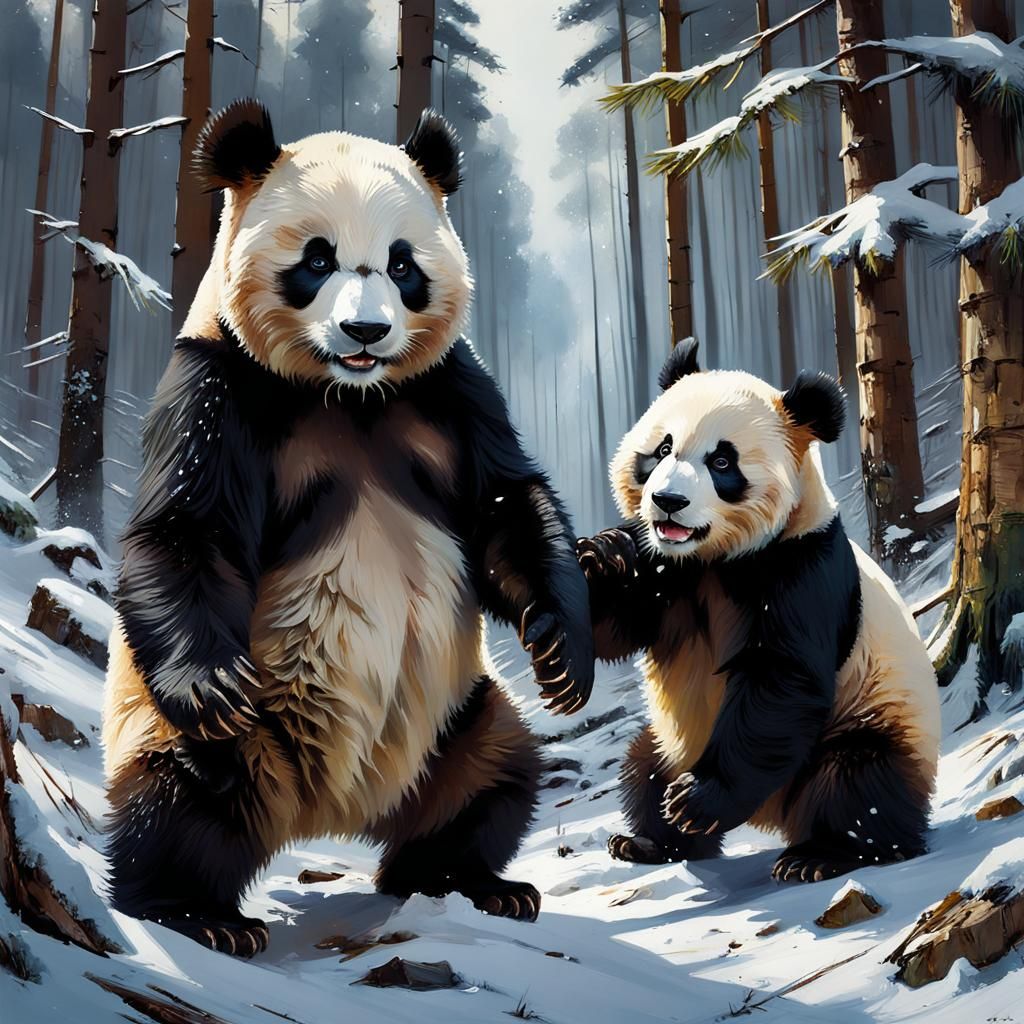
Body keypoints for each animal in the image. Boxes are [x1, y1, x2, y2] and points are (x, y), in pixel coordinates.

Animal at [102, 99, 595, 955]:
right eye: (316, 260)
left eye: (402, 266)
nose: (366, 332)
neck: (348, 395)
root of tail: (329, 812)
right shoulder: (218, 386)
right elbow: (185, 529)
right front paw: (211, 682)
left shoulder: (450, 390)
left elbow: (507, 504)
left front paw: (563, 655)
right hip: (221, 726)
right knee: (185, 791)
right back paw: (196, 913)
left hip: (456, 714)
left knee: (496, 775)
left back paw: (474, 882)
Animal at [576, 340, 940, 882]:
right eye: (662, 449)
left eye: (722, 461)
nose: (667, 500)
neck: (713, 557)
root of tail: (770, 815)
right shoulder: (668, 572)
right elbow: (619, 627)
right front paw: (604, 555)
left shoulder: (803, 570)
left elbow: (781, 677)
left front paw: (699, 798)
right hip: (671, 738)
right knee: (643, 765)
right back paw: (650, 838)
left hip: (873, 717)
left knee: (858, 782)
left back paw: (820, 854)